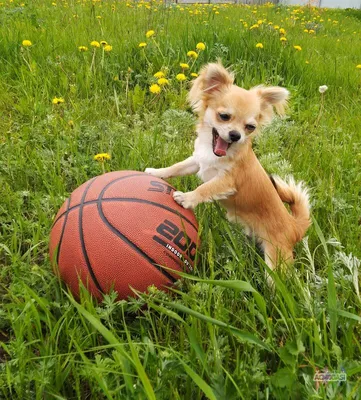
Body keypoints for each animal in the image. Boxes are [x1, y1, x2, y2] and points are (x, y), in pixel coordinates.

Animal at [145, 62, 310, 280]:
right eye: (224, 116)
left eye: (250, 127)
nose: (235, 135)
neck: (214, 153)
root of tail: (294, 227)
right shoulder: (197, 161)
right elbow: (176, 167)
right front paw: (156, 172)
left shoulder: (227, 181)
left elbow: (205, 189)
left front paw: (187, 198)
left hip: (276, 262)